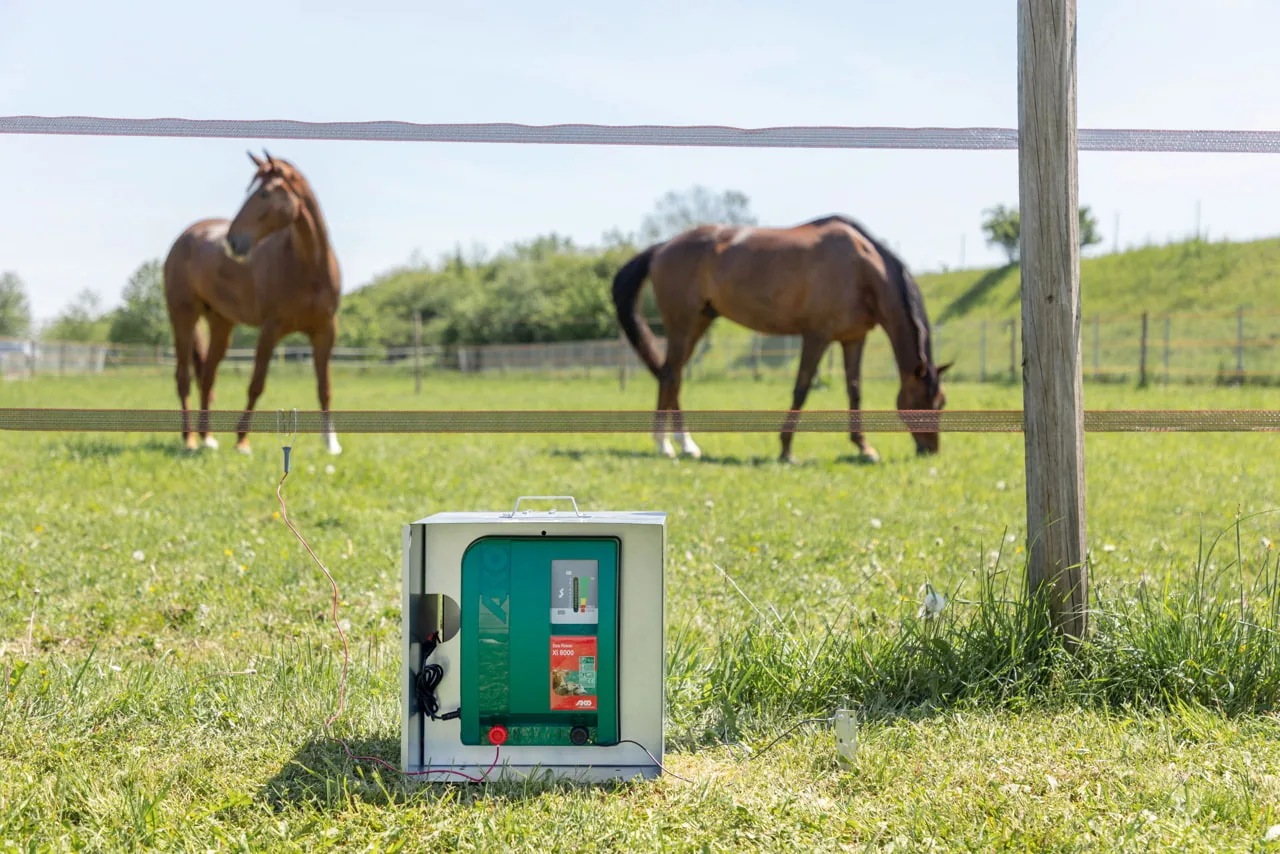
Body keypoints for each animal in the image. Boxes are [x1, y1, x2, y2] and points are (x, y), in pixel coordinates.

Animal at [163, 151, 343, 456]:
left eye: (265, 193)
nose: (232, 241)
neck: (307, 266)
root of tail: (187, 236)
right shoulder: (270, 330)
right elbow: (256, 384)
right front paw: (242, 440)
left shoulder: (324, 332)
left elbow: (325, 387)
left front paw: (331, 443)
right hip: (183, 316)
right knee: (183, 377)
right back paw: (189, 439)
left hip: (221, 323)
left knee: (207, 377)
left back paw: (207, 438)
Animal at [611, 214, 951, 463]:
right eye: (923, 402)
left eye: (942, 402)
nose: (931, 450)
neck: (862, 268)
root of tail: (662, 248)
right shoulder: (816, 337)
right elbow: (801, 389)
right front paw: (786, 450)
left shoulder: (853, 339)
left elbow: (854, 392)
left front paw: (864, 448)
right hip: (682, 323)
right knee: (670, 375)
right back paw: (666, 445)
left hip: (699, 321)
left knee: (673, 375)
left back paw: (685, 445)